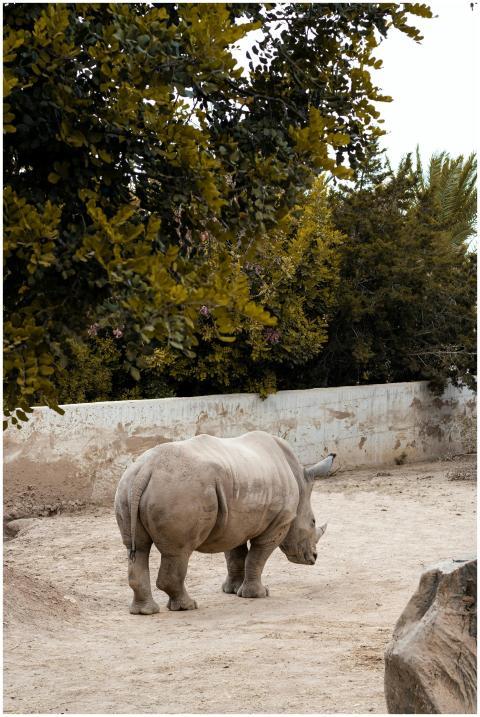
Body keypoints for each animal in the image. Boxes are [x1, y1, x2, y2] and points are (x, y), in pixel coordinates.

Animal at [114, 430, 335, 614]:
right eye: (313, 522)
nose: (313, 557)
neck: (299, 480)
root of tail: (146, 470)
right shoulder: (279, 523)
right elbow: (257, 557)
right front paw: (258, 594)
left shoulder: (235, 522)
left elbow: (236, 555)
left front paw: (232, 590)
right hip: (179, 490)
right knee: (179, 552)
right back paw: (188, 606)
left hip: (128, 487)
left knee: (138, 549)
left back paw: (144, 611)